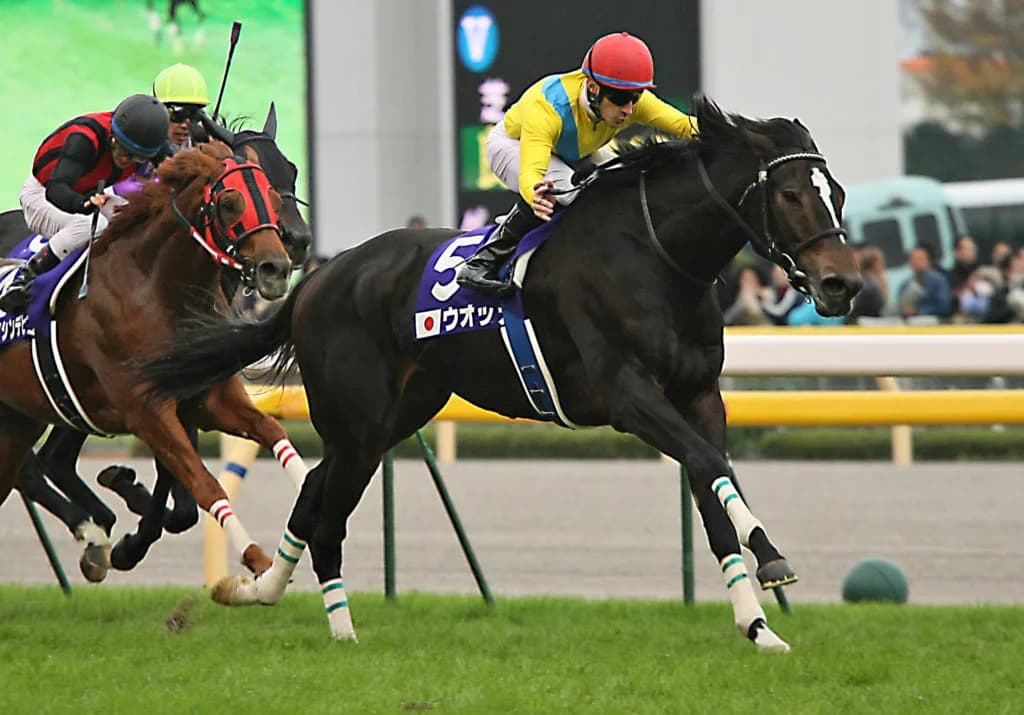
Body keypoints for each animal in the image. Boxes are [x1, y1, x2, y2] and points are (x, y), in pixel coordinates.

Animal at [1, 104, 312, 582]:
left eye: (288, 174)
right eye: (229, 202)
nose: (281, 261)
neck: (158, 288)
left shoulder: (207, 397)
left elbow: (267, 434)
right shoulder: (147, 407)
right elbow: (197, 484)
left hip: (25, 412)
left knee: (39, 464)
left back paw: (97, 526)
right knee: (39, 467)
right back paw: (95, 531)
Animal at [136, 96, 862, 651]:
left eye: (837, 193)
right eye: (791, 194)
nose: (842, 284)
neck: (656, 256)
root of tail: (317, 278)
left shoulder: (699, 395)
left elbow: (712, 487)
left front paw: (760, 626)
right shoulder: (629, 395)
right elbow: (711, 466)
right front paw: (772, 556)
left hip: (400, 410)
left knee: (317, 486)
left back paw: (259, 588)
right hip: (359, 416)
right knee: (330, 511)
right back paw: (338, 628)